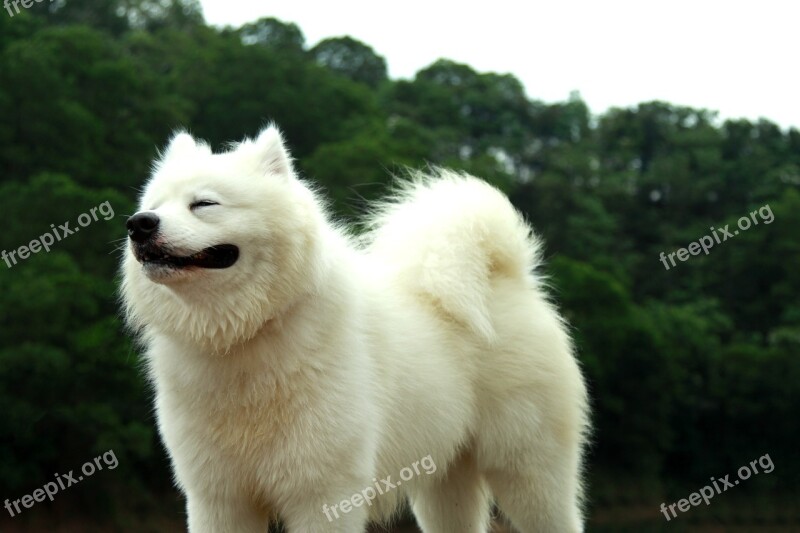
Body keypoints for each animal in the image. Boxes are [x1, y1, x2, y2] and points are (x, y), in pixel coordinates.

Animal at [122, 125, 592, 532]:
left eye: (204, 204)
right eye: (157, 204)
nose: (139, 223)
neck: (243, 337)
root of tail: (506, 275)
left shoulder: (324, 494)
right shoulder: (218, 498)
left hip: (529, 475)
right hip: (445, 484)